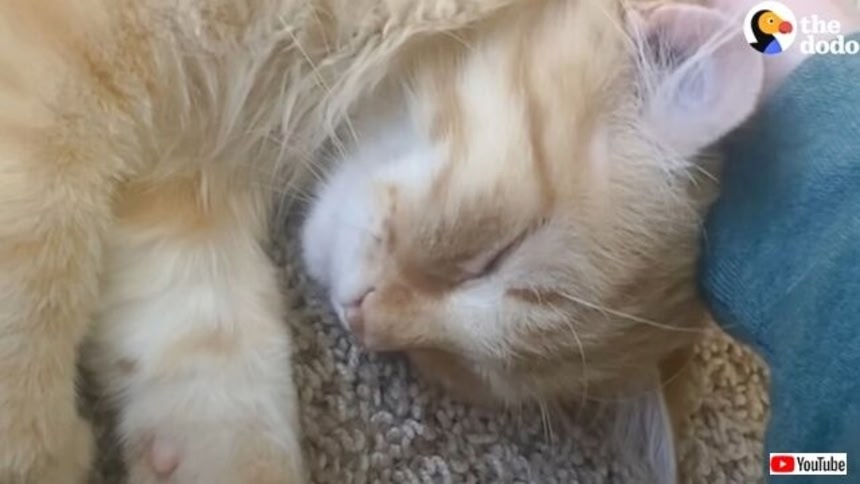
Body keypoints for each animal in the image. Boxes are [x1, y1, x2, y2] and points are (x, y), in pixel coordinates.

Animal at [0, 0, 524, 482]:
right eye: (493, 257)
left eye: (459, 366)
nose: (366, 322)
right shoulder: (67, 69)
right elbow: (34, 249)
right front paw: (36, 458)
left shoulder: (193, 165)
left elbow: (208, 341)